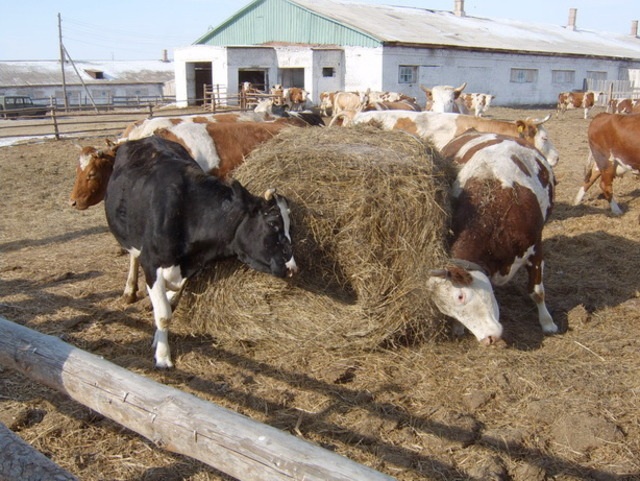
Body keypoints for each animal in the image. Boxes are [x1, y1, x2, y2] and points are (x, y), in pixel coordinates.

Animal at [104, 135, 298, 368]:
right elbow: (164, 314)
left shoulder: (189, 270)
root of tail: (147, 138)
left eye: (290, 226)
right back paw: (129, 290)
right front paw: (163, 357)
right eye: (273, 224)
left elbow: (169, 304)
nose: (292, 268)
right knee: (133, 255)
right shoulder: (151, 265)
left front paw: (157, 340)